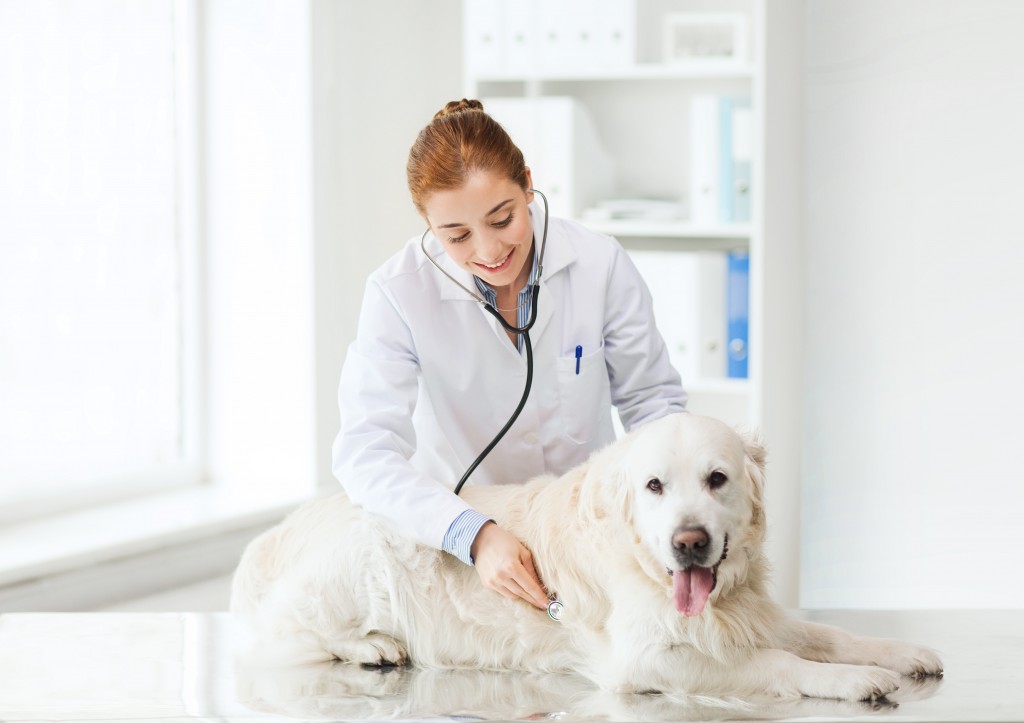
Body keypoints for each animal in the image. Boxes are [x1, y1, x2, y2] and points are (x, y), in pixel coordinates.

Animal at [232, 411, 942, 696]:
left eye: (717, 479)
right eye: (654, 486)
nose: (689, 544)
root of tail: (277, 529)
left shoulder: (748, 612)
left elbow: (826, 634)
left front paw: (900, 653)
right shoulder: (650, 658)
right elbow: (777, 664)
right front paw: (853, 681)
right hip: (361, 559)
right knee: (286, 635)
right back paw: (373, 646)